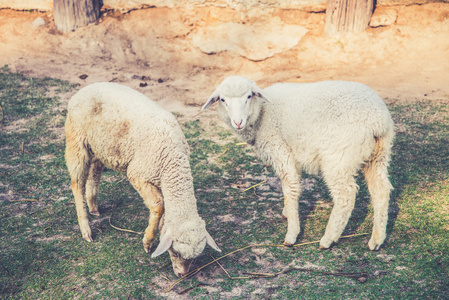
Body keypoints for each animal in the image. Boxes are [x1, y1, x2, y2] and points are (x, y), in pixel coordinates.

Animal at [64, 82, 220, 276]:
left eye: (194, 257)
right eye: (175, 252)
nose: (182, 275)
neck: (172, 163)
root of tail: (86, 88)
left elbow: (163, 208)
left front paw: (159, 228)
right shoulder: (138, 173)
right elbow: (159, 205)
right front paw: (148, 241)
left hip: (101, 145)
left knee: (96, 168)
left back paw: (93, 206)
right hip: (76, 139)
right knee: (77, 182)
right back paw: (86, 228)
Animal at [201, 75, 394, 251]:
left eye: (249, 96)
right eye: (223, 100)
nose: (238, 122)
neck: (262, 113)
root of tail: (377, 120)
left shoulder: (281, 151)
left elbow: (290, 189)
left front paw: (292, 234)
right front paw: (287, 213)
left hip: (338, 156)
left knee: (345, 195)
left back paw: (328, 239)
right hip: (378, 156)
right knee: (381, 190)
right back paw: (377, 239)